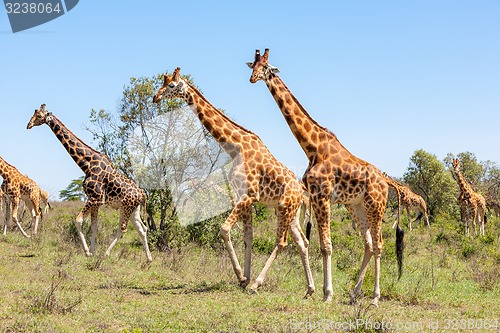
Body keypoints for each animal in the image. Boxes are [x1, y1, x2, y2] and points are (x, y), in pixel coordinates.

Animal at [26, 102, 152, 260]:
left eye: (39, 116)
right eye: (34, 113)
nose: (28, 125)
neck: (86, 165)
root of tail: (142, 194)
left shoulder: (95, 198)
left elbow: (78, 220)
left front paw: (87, 251)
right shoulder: (96, 201)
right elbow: (94, 227)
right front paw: (92, 251)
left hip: (126, 207)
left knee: (123, 229)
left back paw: (106, 253)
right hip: (133, 208)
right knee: (143, 229)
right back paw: (149, 258)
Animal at [152, 67, 314, 296]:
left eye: (172, 85)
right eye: (162, 83)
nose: (155, 97)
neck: (235, 147)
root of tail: (301, 191)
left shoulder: (249, 195)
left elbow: (224, 229)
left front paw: (242, 277)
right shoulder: (241, 196)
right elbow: (248, 237)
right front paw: (244, 277)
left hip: (285, 207)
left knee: (282, 242)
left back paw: (257, 285)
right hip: (290, 211)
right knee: (302, 242)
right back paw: (310, 289)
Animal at [248, 49, 404, 306]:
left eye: (266, 67)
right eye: (253, 65)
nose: (252, 78)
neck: (312, 147)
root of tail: (387, 181)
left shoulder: (322, 196)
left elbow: (326, 246)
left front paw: (328, 293)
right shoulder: (318, 197)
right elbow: (320, 244)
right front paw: (322, 290)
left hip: (376, 205)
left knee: (379, 244)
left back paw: (374, 298)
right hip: (357, 206)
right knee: (369, 244)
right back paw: (354, 294)